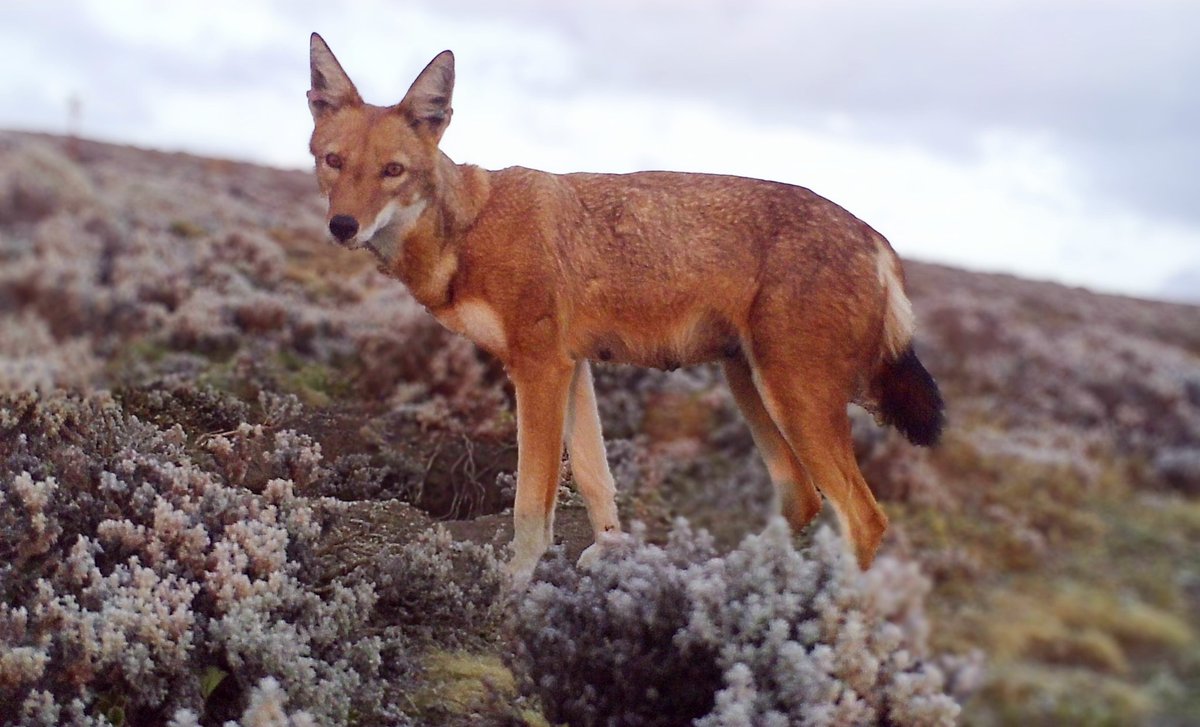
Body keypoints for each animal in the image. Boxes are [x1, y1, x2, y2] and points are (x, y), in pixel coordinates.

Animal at [306, 33, 944, 585]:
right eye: (333, 162)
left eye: (392, 171)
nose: (343, 227)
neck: (467, 229)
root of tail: (876, 239)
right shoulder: (572, 368)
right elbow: (595, 477)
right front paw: (610, 552)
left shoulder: (540, 370)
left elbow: (530, 504)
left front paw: (512, 585)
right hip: (754, 389)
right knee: (804, 500)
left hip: (792, 400)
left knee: (864, 519)